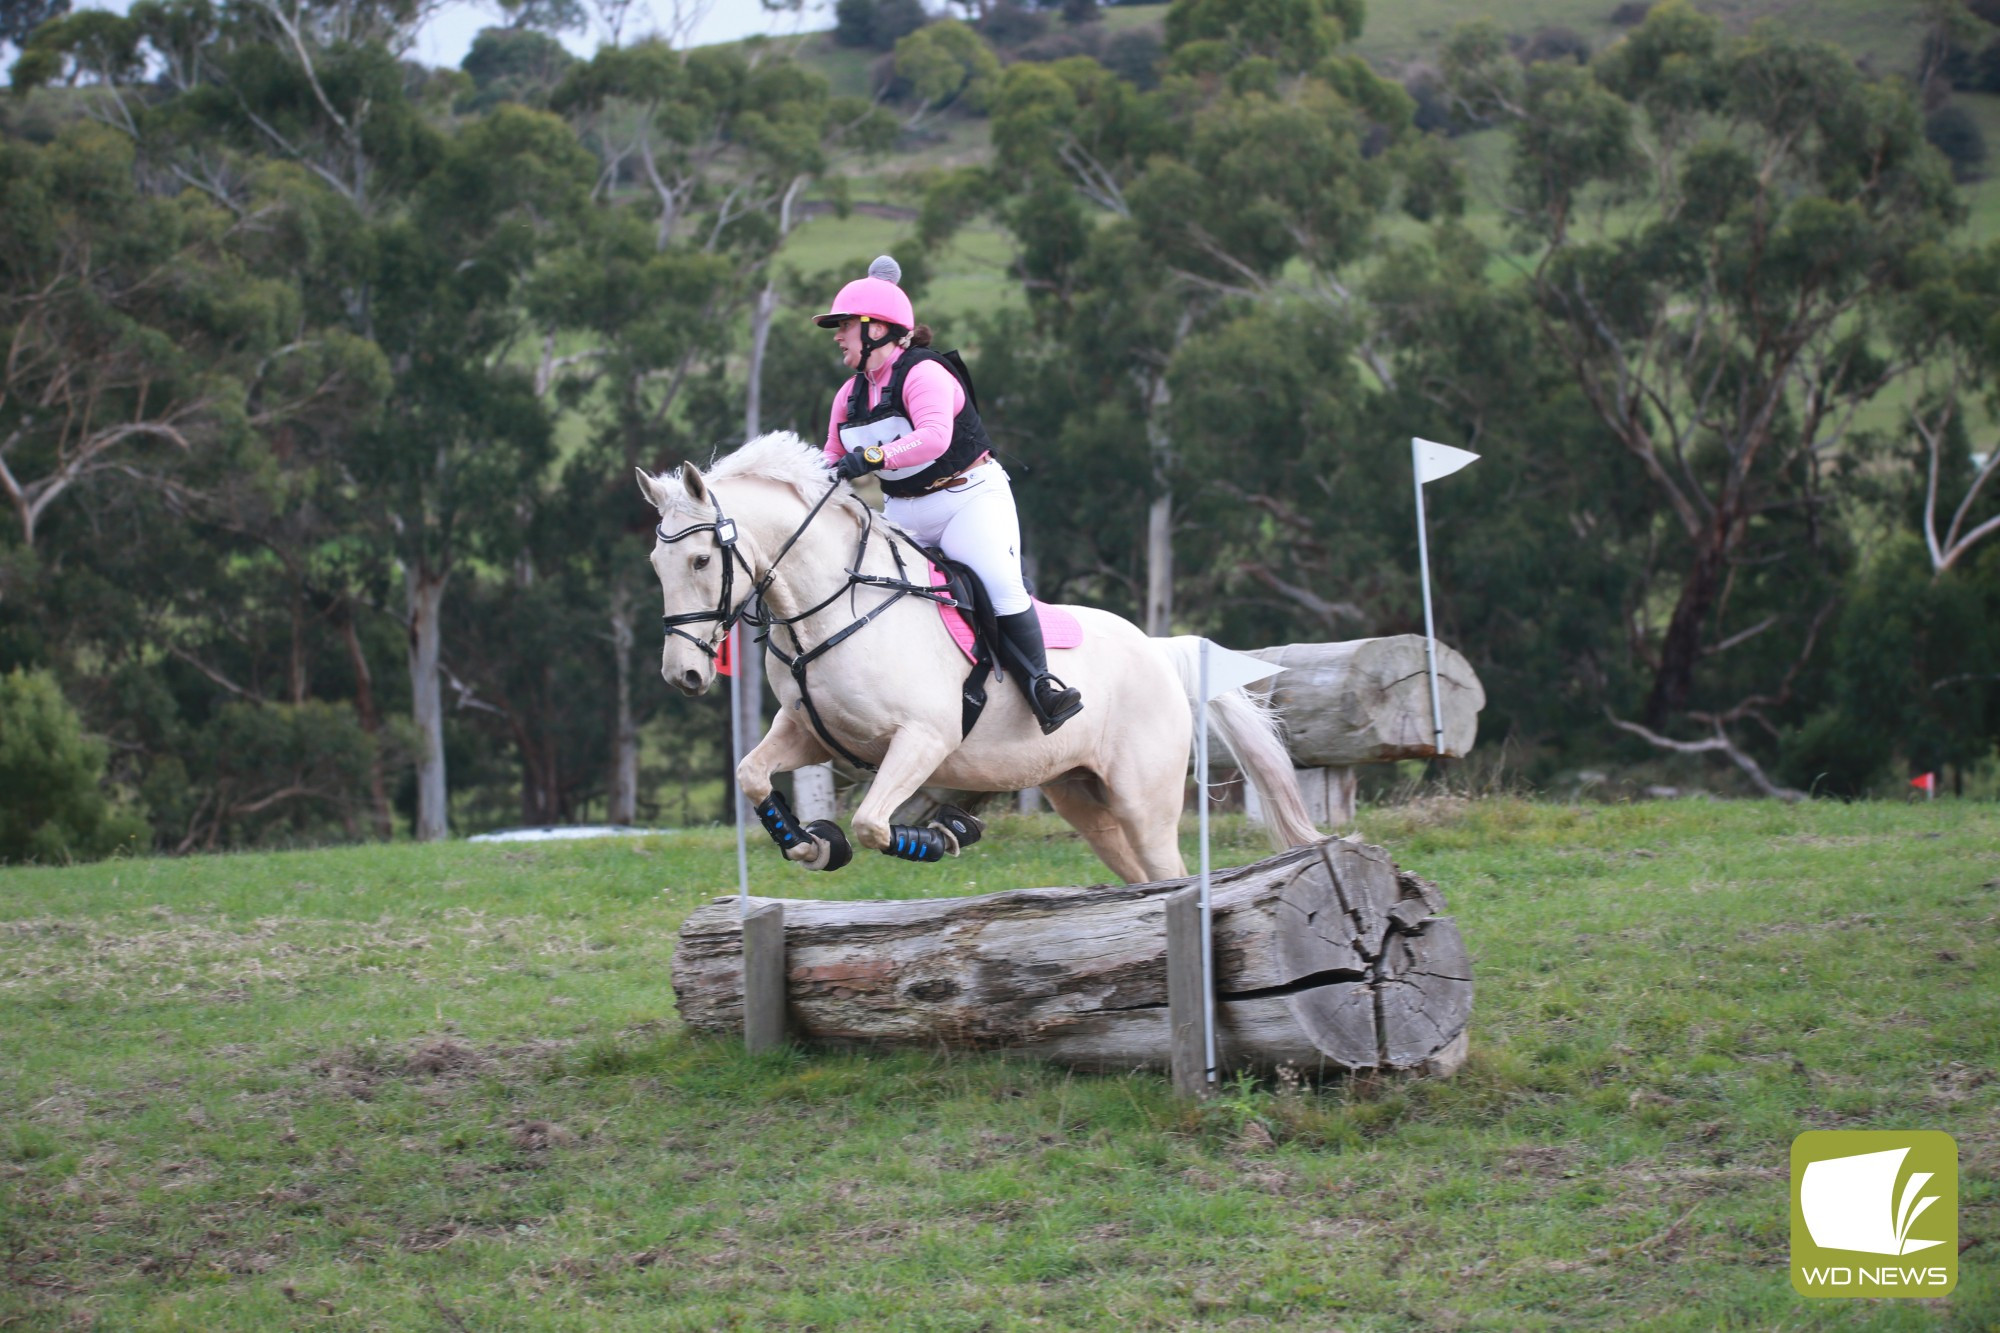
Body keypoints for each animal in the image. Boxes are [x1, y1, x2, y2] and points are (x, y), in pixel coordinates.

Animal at [632, 428, 1320, 880]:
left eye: (701, 560)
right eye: (656, 565)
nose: (683, 674)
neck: (832, 607)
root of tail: (1157, 650)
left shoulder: (924, 739)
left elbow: (874, 823)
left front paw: (942, 834)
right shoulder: (810, 733)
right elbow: (753, 775)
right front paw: (813, 845)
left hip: (1141, 802)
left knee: (1167, 874)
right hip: (1083, 798)